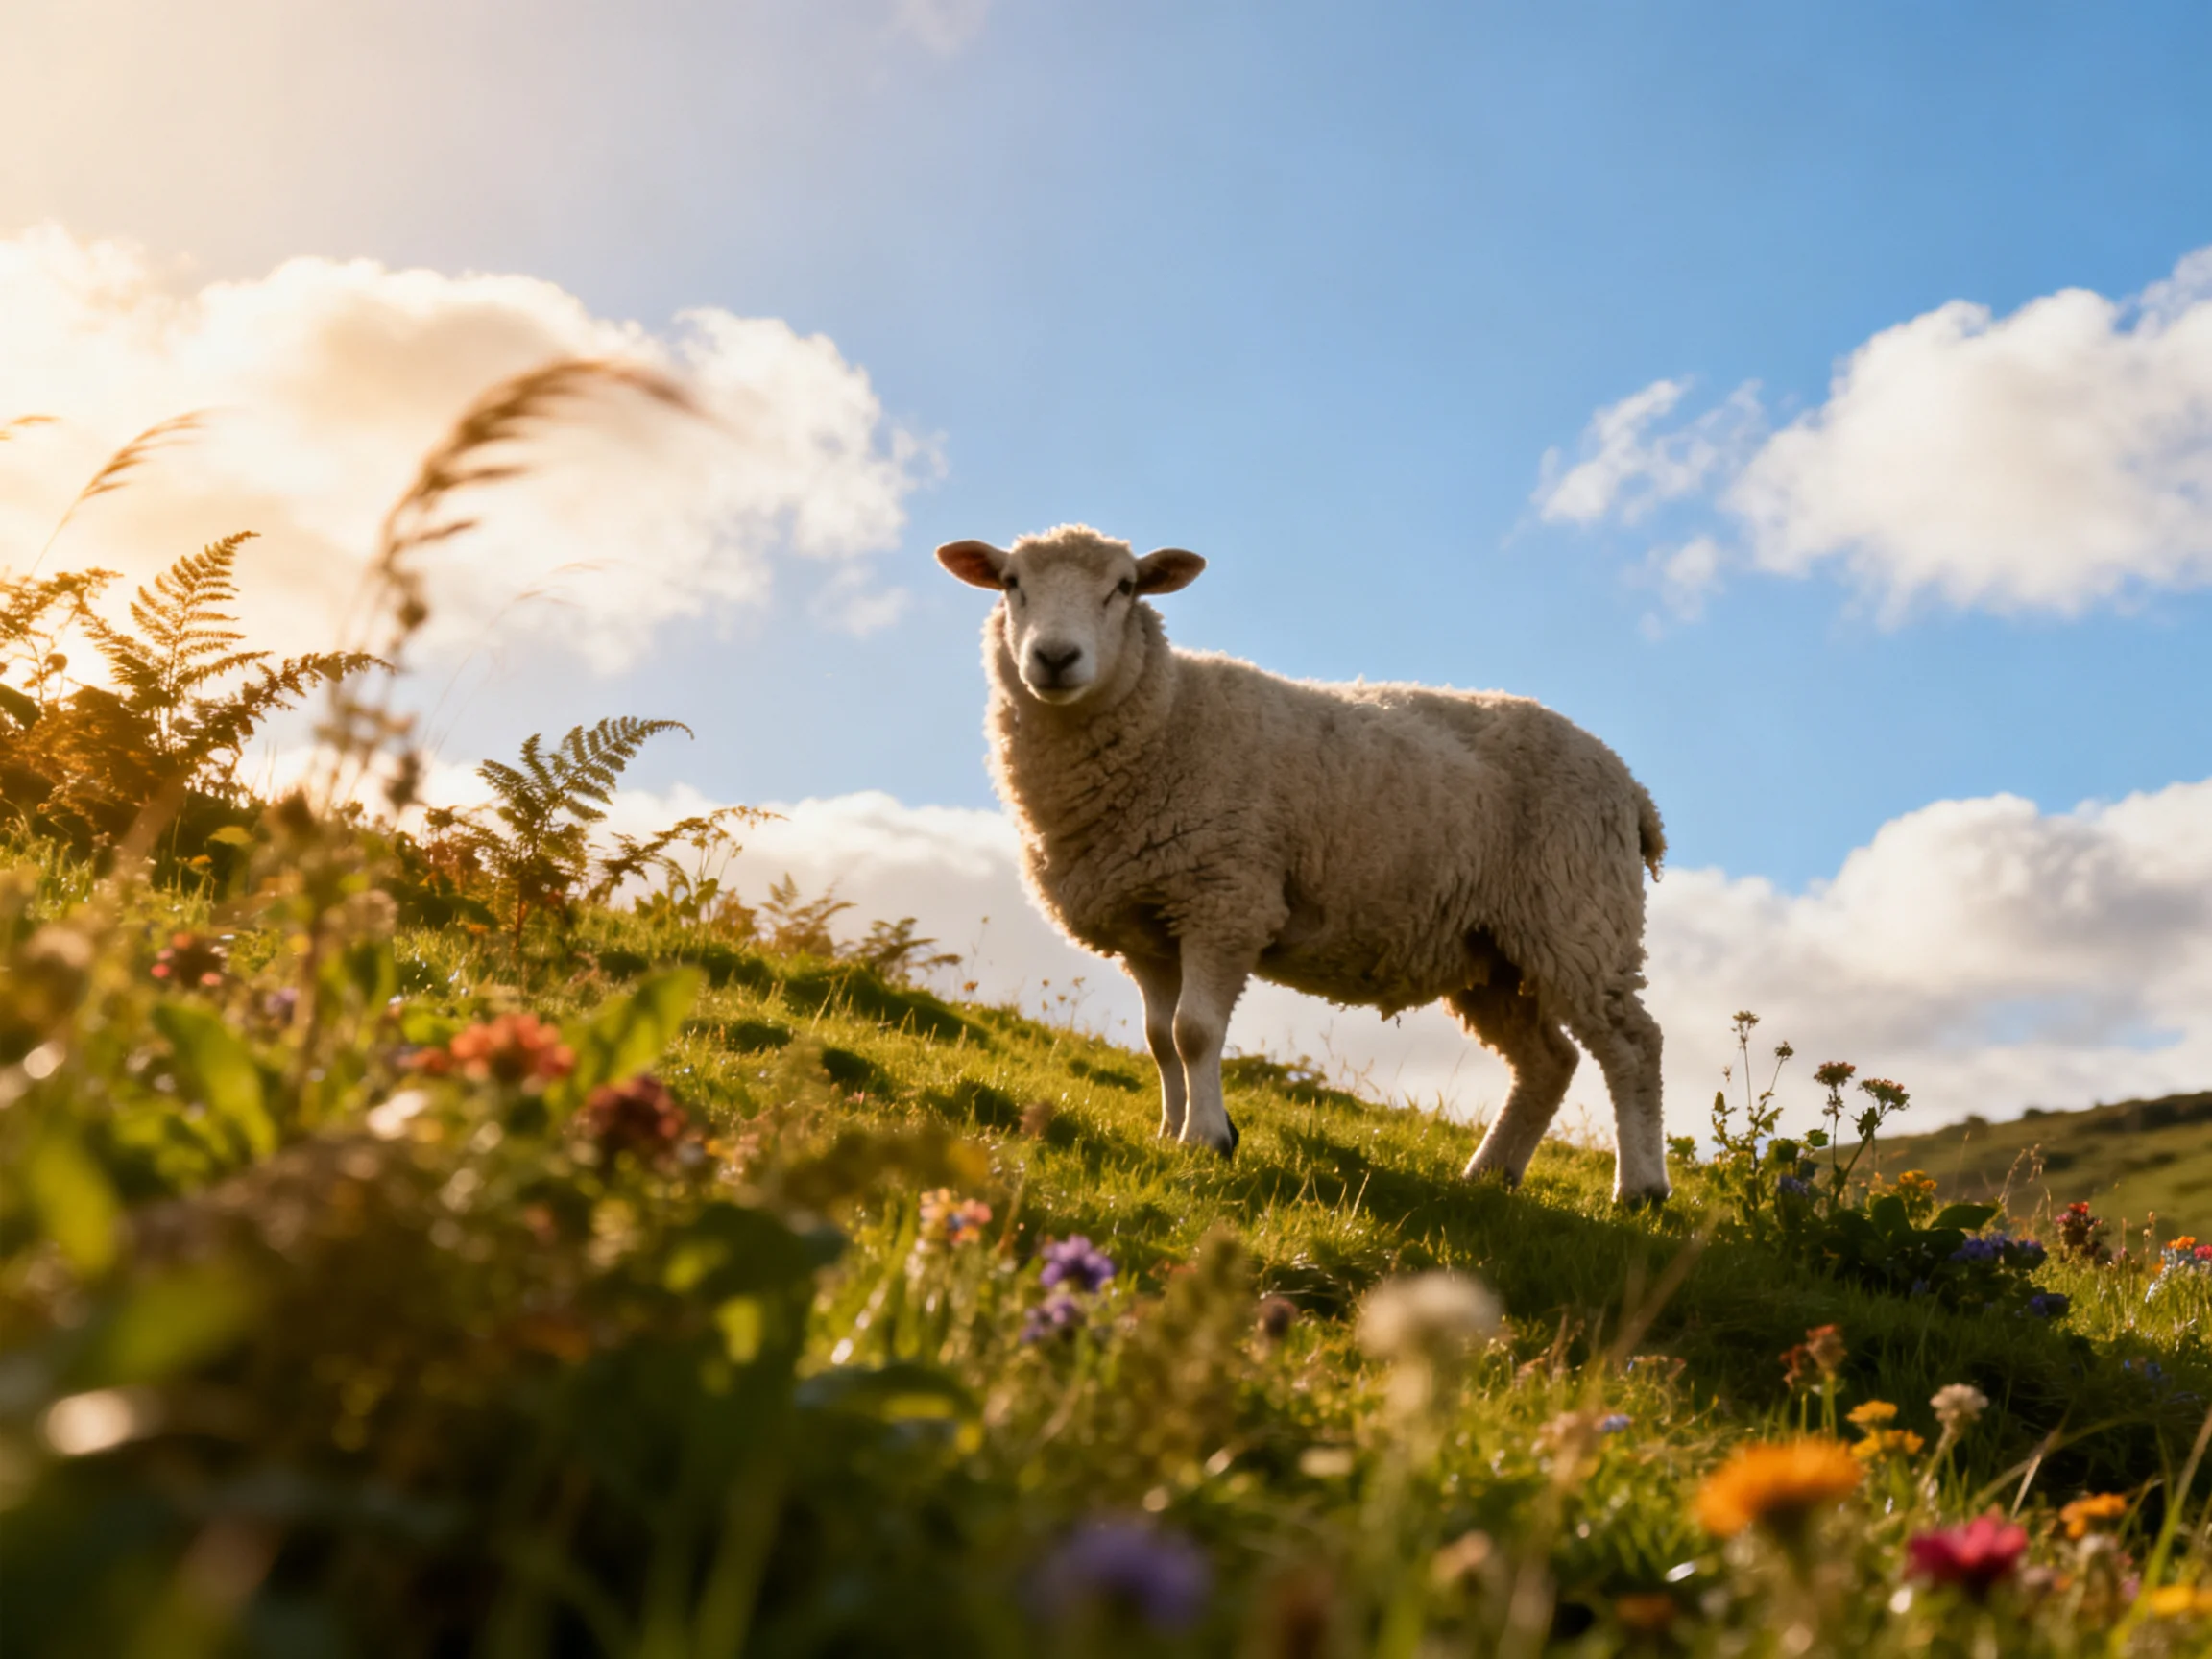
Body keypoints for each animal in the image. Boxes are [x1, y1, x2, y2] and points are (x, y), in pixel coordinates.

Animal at [936, 524, 1671, 1203]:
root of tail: (1632, 787)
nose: (1055, 657)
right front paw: (1170, 1131)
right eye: (1011, 583)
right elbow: (1158, 1038)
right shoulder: (1148, 924)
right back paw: (1490, 1174)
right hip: (1491, 953)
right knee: (1549, 1061)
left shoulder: (1226, 899)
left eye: (1124, 587)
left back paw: (1641, 1187)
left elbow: (1195, 1032)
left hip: (1579, 916)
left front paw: (1208, 1139)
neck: (1169, 716)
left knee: (1634, 1047)